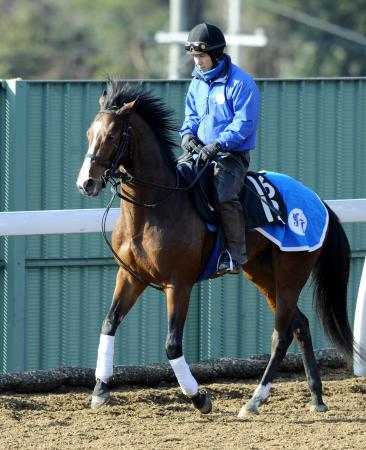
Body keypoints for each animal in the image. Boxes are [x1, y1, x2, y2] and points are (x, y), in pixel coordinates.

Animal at [76, 80, 358, 418]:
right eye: (89, 134)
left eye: (112, 135)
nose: (86, 183)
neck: (157, 205)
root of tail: (320, 202)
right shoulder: (131, 276)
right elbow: (109, 323)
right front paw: (100, 390)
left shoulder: (179, 284)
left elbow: (172, 344)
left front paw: (199, 398)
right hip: (262, 274)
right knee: (300, 325)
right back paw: (315, 396)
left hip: (291, 273)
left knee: (282, 334)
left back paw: (254, 400)